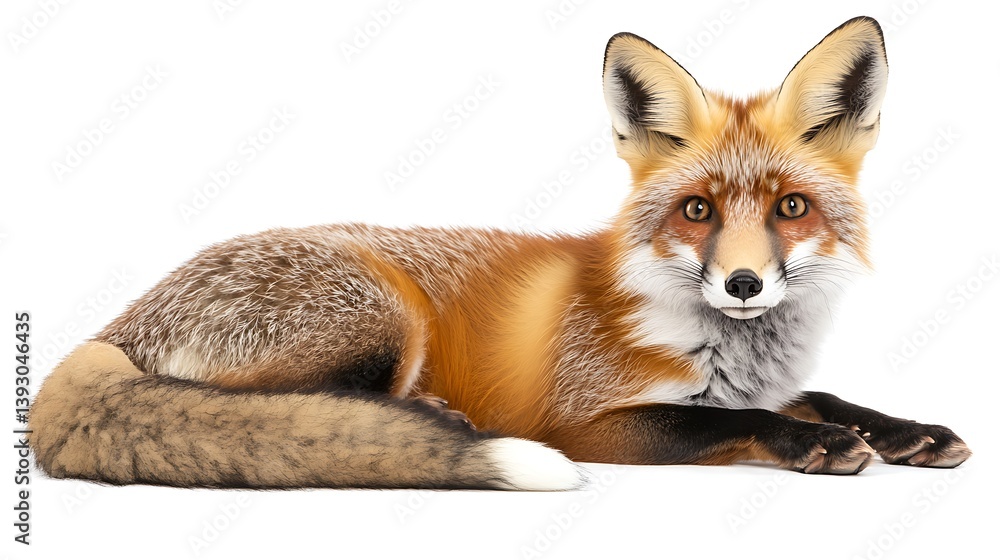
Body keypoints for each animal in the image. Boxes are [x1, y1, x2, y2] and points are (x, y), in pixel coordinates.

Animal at [30, 16, 971, 490]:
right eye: (698, 210)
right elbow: (722, 421)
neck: (732, 346)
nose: (743, 283)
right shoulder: (589, 421)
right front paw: (810, 442)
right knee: (248, 406)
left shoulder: (765, 379)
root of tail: (119, 323)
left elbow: (829, 395)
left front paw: (905, 431)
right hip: (381, 318)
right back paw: (431, 424)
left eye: (791, 208)